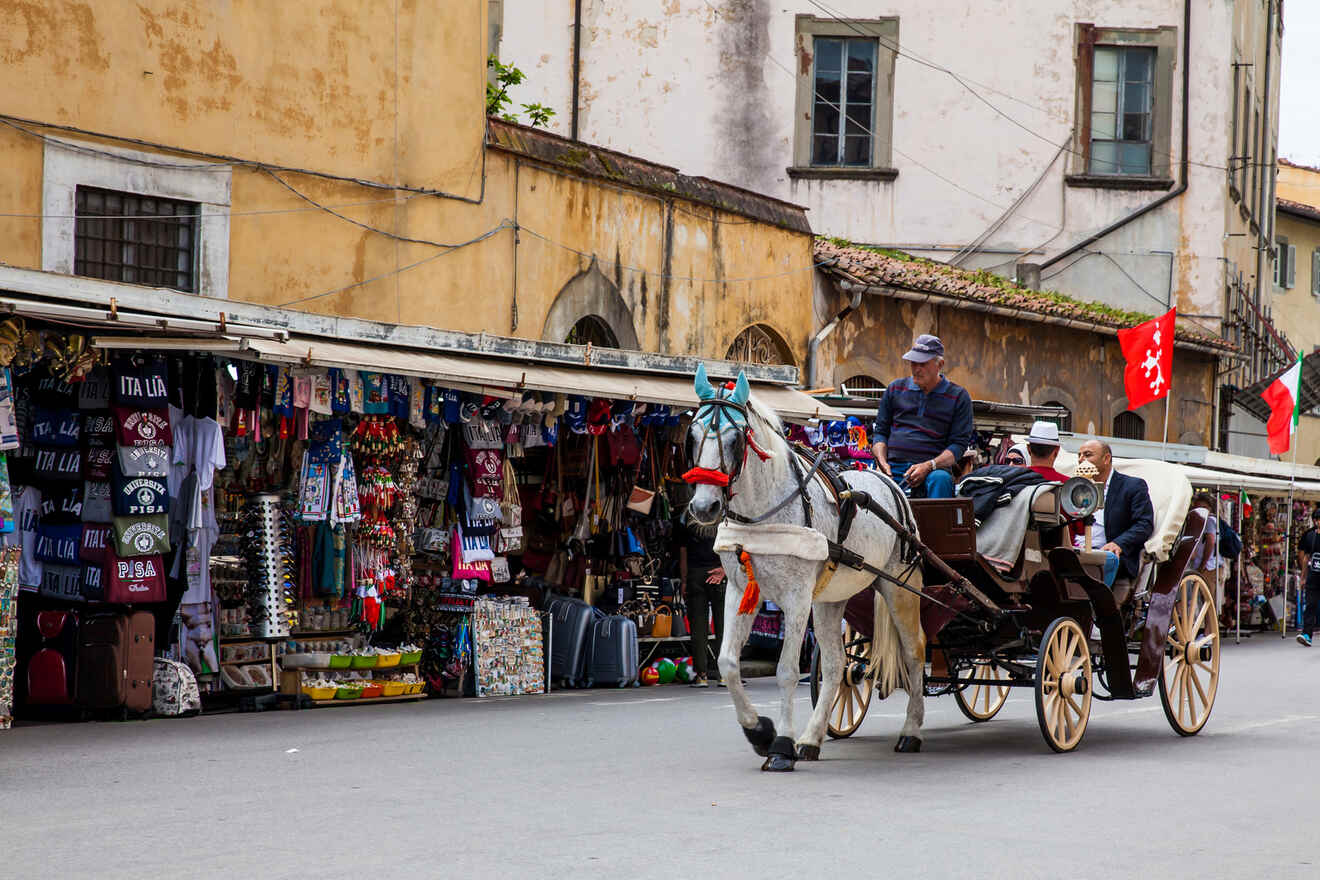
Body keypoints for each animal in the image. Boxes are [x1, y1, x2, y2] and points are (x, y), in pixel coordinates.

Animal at [691, 364, 929, 770]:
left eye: (736, 440)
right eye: (692, 433)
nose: (704, 507)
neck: (765, 513)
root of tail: (891, 483)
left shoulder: (797, 597)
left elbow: (787, 671)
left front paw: (781, 745)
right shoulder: (740, 590)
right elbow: (727, 663)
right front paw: (759, 731)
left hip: (899, 587)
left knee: (915, 653)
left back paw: (910, 732)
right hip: (831, 599)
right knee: (835, 666)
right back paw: (812, 738)